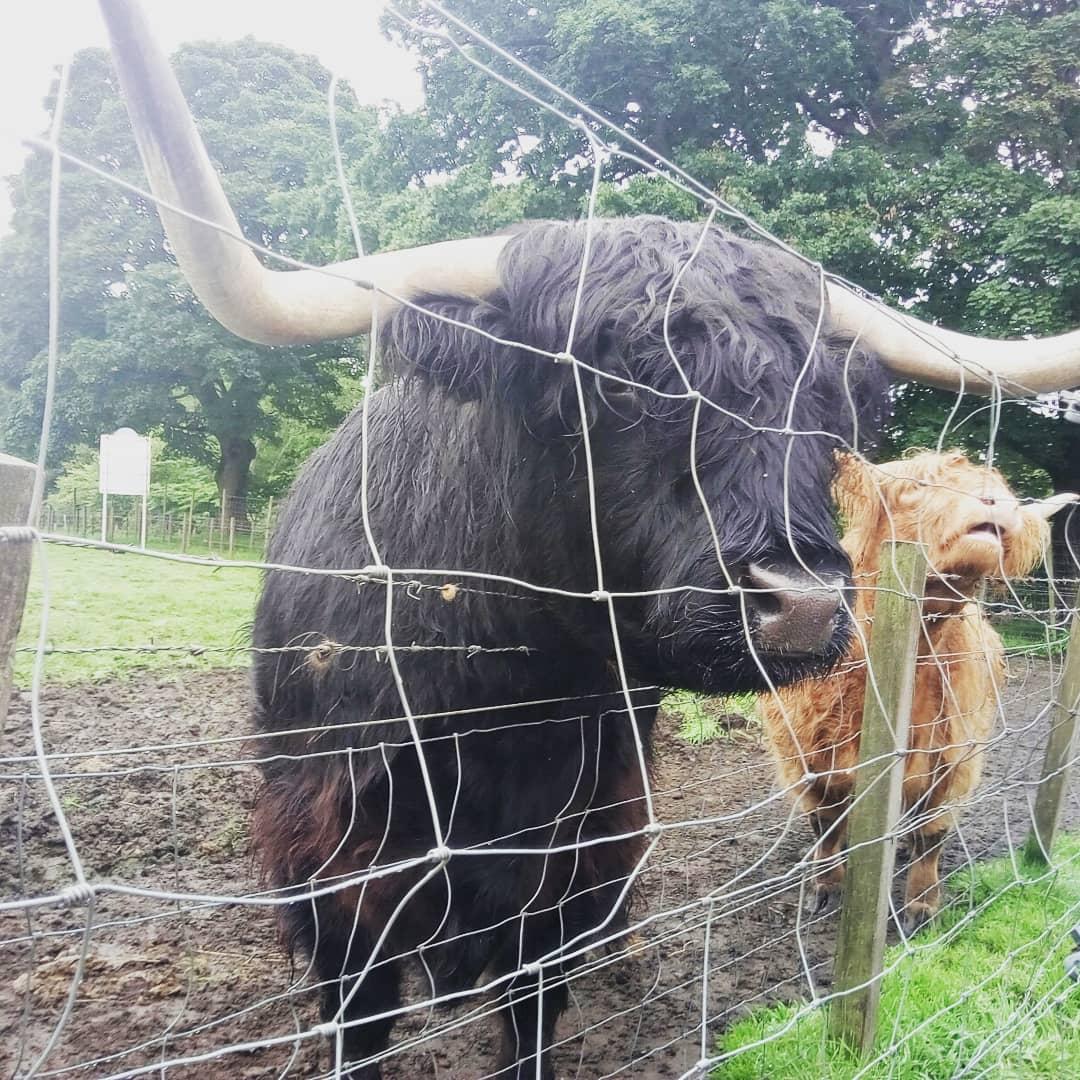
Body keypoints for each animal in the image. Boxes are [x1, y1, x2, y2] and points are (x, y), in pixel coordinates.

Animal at [99, 2, 1080, 1074]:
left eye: (835, 413)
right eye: (607, 384)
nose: (801, 605)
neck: (503, 698)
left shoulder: (577, 852)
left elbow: (536, 1009)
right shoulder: (336, 870)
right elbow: (360, 1019)